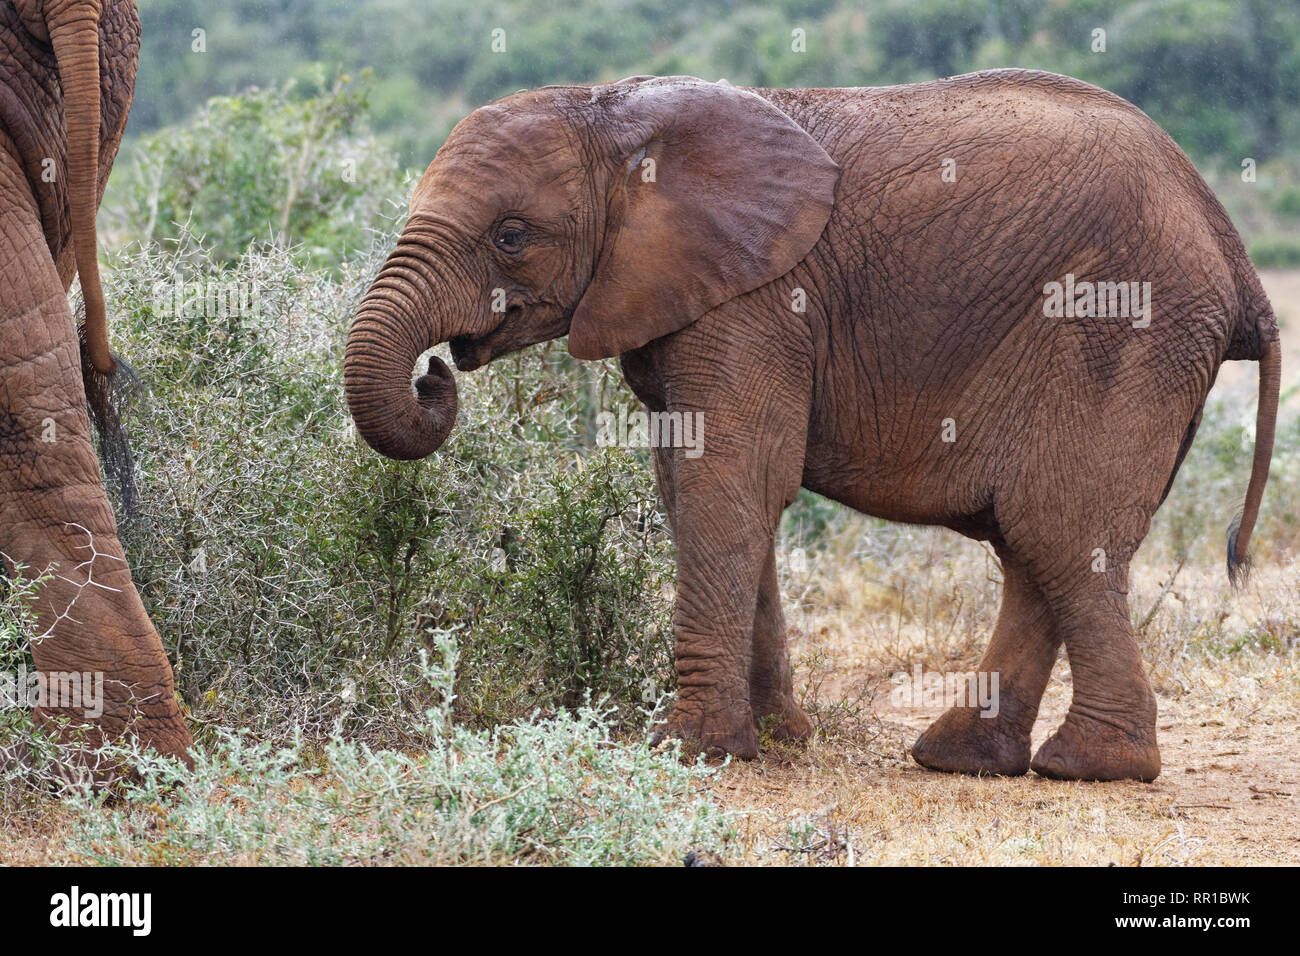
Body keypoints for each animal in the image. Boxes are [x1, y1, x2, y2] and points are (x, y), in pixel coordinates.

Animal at [345, 70, 1279, 780]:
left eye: (512, 235)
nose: (434, 371)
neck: (615, 114)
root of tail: (1237, 259)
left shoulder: (758, 301)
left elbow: (727, 487)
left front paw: (689, 749)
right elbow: (700, 492)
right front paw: (776, 741)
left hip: (1122, 329)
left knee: (1057, 529)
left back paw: (1091, 767)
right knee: (1035, 543)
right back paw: (962, 757)